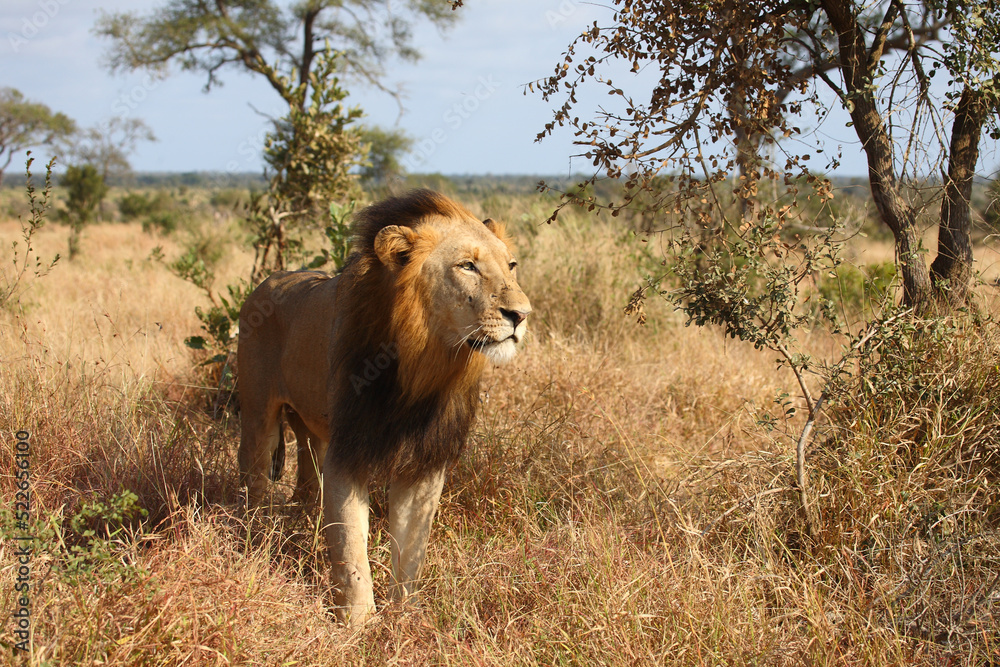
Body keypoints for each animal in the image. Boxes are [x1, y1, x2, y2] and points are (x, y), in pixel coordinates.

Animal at [236, 189, 531, 624]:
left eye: (510, 265)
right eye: (467, 266)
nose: (521, 315)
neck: (424, 363)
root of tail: (269, 280)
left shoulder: (424, 462)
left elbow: (411, 550)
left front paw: (405, 616)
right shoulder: (348, 452)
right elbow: (351, 550)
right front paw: (357, 623)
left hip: (312, 428)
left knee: (308, 476)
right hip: (259, 418)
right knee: (254, 479)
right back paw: (254, 541)